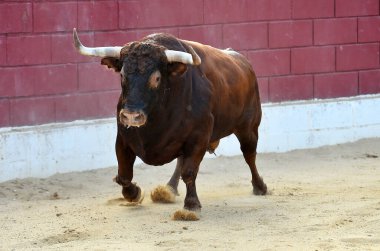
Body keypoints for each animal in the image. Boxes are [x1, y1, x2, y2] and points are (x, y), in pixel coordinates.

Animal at [72, 28, 266, 214]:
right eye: (122, 75)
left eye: (156, 78)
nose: (131, 116)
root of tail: (243, 62)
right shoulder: (123, 138)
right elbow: (124, 174)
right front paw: (134, 193)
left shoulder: (198, 137)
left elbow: (189, 171)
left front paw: (192, 204)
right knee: (180, 161)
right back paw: (169, 189)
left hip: (249, 127)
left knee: (249, 155)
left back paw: (260, 187)